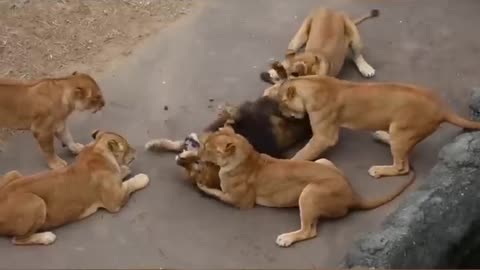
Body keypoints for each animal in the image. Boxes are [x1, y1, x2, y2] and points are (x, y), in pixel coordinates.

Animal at [0, 130, 148, 246]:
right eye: (127, 146)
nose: (135, 150)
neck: (96, 149)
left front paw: (124, 170)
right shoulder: (115, 201)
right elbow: (131, 184)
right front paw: (142, 177)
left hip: (14, 173)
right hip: (36, 202)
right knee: (18, 239)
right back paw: (46, 237)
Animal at [197, 127, 414, 248]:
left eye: (207, 148)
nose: (198, 154)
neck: (248, 156)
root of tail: (353, 194)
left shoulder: (240, 202)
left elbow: (215, 193)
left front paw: (200, 183)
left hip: (309, 193)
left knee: (309, 231)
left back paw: (286, 239)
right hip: (322, 161)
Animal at [268, 75, 480, 178]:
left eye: (282, 104)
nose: (282, 113)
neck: (314, 84)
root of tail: (442, 107)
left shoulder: (324, 136)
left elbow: (303, 153)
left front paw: (288, 164)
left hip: (401, 130)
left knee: (402, 167)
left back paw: (379, 170)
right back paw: (381, 136)